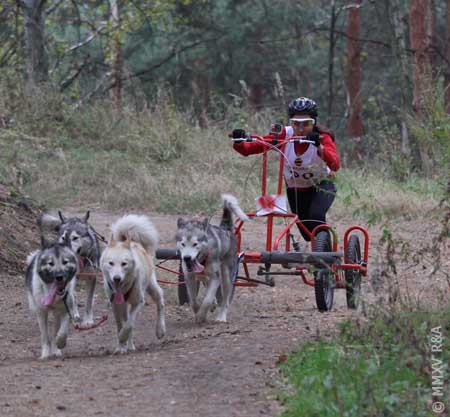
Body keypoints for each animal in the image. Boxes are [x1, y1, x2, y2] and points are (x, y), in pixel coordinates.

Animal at [176, 193, 248, 324]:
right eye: (183, 244)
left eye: (195, 244)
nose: (187, 258)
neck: (203, 259)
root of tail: (226, 229)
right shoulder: (189, 277)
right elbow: (193, 301)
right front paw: (197, 312)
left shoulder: (215, 278)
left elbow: (207, 300)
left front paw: (201, 316)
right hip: (205, 276)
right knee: (206, 282)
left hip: (226, 276)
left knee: (225, 300)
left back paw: (221, 316)